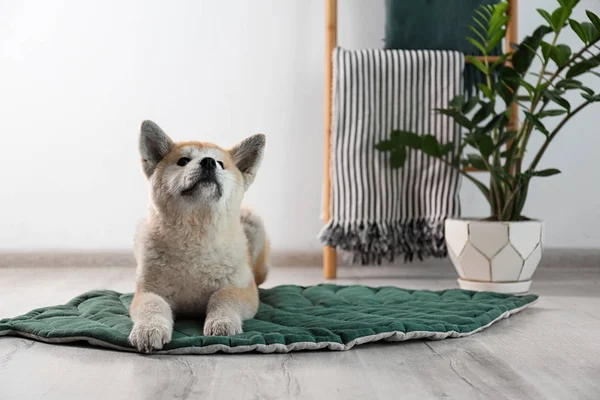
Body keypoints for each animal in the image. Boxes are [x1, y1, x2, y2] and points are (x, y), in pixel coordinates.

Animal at [129, 120, 270, 352]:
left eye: (221, 163)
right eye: (183, 161)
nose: (209, 162)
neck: (196, 236)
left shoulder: (242, 289)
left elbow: (223, 296)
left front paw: (222, 322)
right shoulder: (150, 291)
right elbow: (154, 306)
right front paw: (149, 330)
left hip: (254, 226)